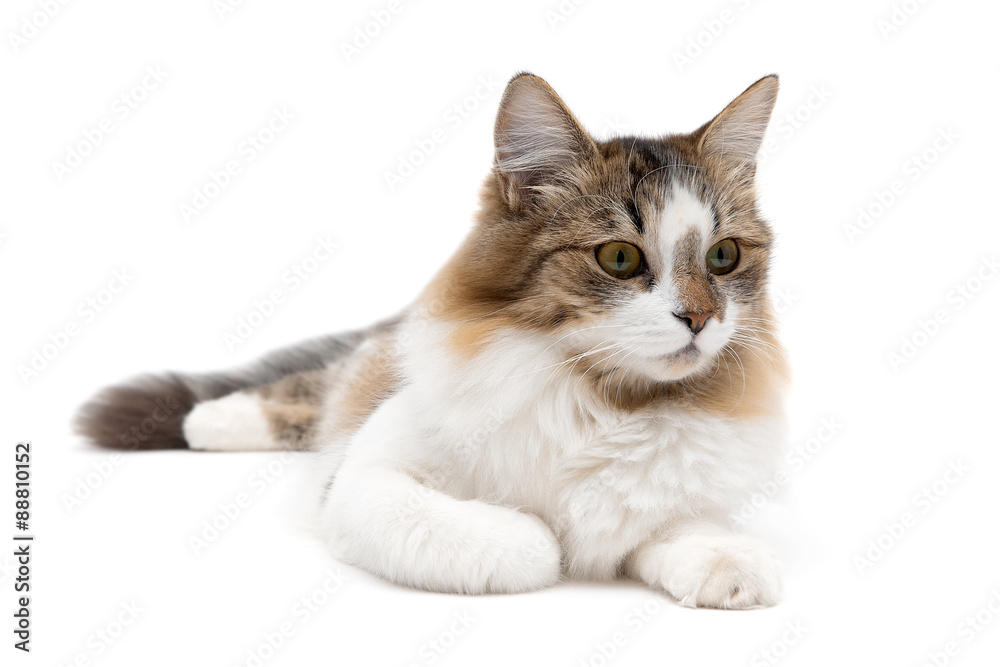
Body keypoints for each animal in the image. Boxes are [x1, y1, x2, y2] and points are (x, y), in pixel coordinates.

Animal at [78, 73, 788, 612]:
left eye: (723, 257)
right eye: (619, 258)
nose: (700, 318)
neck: (602, 401)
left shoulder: (666, 500)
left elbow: (680, 529)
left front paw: (730, 564)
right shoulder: (364, 479)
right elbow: (526, 543)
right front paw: (545, 539)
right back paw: (210, 419)